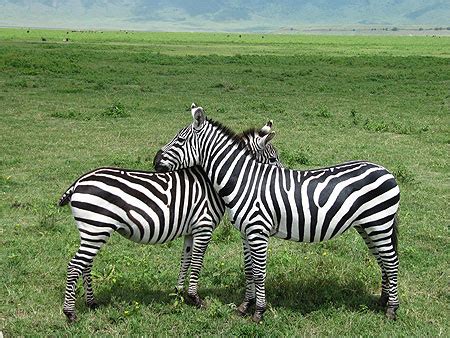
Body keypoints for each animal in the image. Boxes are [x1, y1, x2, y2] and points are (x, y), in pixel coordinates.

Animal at [58, 115, 280, 324]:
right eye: (272, 160)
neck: (211, 182)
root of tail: (78, 182)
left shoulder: (191, 230)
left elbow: (185, 260)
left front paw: (179, 293)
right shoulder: (203, 226)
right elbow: (197, 262)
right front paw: (195, 298)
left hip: (93, 231)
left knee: (86, 265)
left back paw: (91, 303)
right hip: (96, 228)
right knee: (75, 266)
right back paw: (70, 313)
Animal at [153, 105, 400, 322]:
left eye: (180, 140)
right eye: (272, 159)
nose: (155, 161)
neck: (245, 181)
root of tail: (386, 171)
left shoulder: (257, 231)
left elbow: (260, 272)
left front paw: (259, 312)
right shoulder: (246, 233)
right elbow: (249, 270)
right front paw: (245, 306)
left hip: (379, 223)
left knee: (392, 261)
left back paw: (392, 310)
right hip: (367, 227)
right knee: (383, 261)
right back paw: (383, 301)